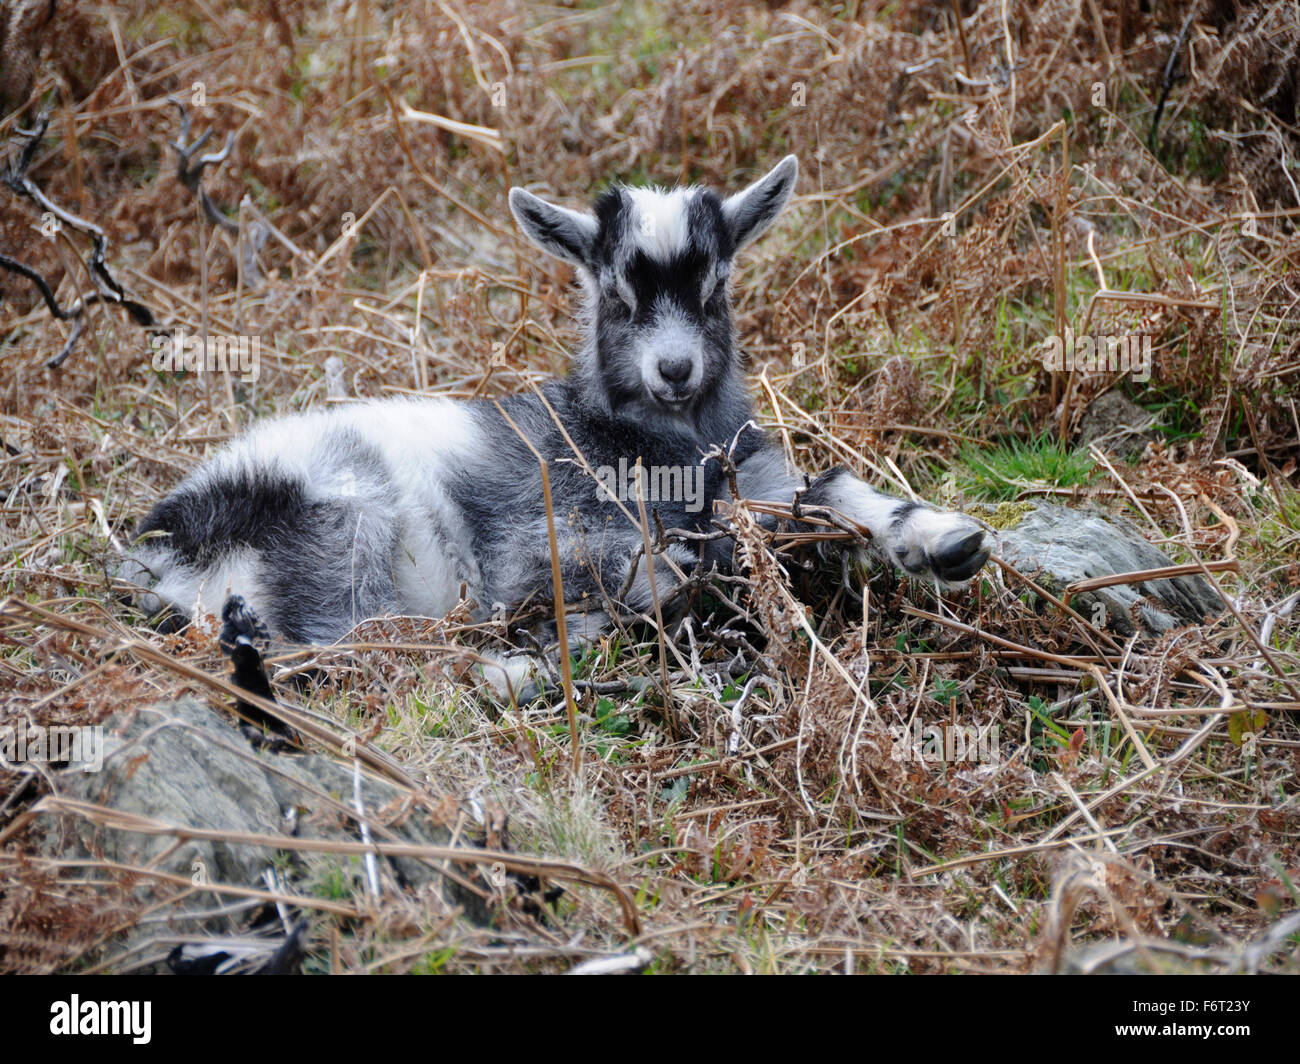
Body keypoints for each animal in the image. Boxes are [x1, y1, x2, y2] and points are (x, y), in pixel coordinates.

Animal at [122, 155, 987, 686]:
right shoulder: (532, 544)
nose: (675, 370)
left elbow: (829, 494)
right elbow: (659, 567)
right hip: (340, 521)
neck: (667, 444)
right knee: (353, 649)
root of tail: (154, 555)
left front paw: (943, 540)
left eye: (714, 288)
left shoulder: (756, 479)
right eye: (617, 296)